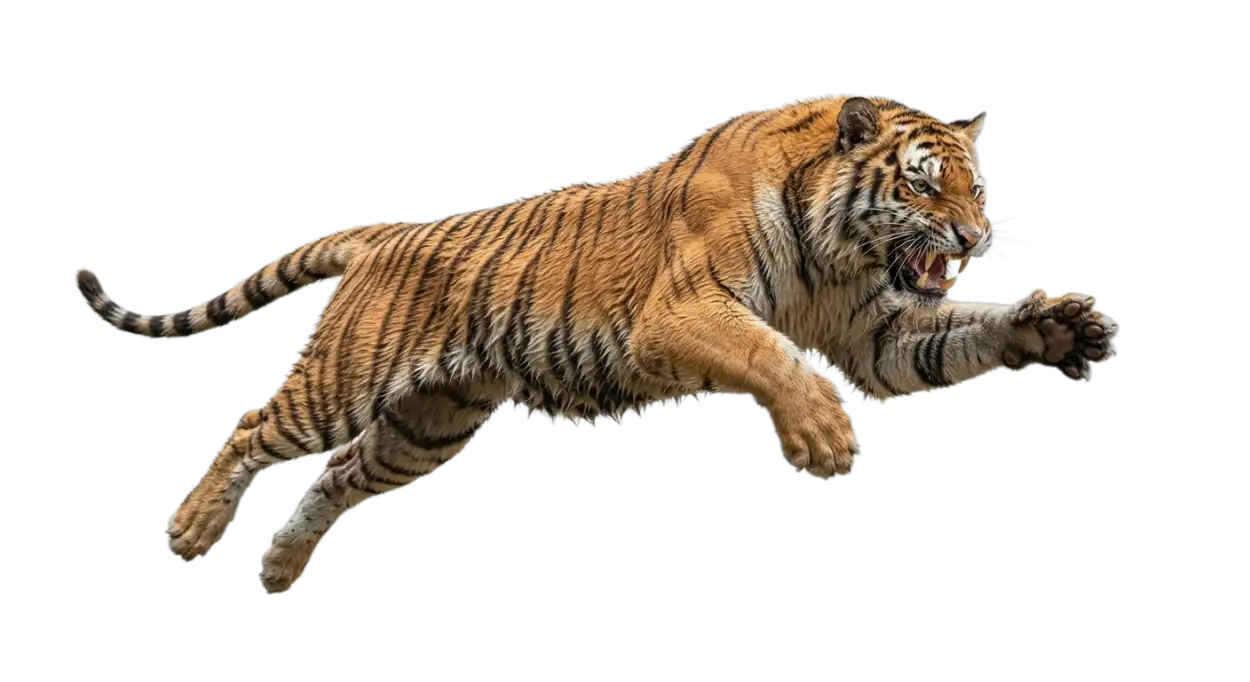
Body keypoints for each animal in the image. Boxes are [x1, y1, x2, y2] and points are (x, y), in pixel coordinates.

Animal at [74, 93, 1120, 594]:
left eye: (978, 186)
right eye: (923, 183)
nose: (975, 239)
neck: (839, 246)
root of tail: (378, 235)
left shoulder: (877, 333)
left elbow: (963, 334)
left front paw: (1061, 324)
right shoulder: (687, 309)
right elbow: (776, 357)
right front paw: (822, 440)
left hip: (426, 426)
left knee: (336, 479)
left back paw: (281, 569)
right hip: (346, 381)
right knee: (254, 426)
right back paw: (192, 531)